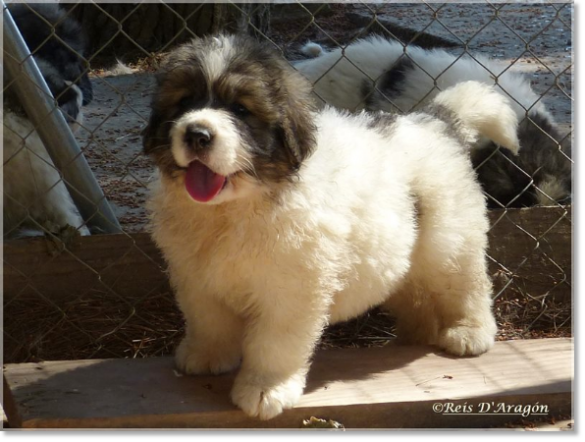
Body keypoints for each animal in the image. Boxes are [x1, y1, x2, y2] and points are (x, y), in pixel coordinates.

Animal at [144, 33, 516, 418]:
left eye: (241, 110)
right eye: (184, 102)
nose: (196, 134)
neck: (233, 207)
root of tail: (434, 120)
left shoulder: (290, 289)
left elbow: (273, 342)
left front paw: (265, 389)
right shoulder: (197, 278)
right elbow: (208, 321)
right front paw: (206, 356)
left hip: (449, 244)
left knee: (467, 288)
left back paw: (470, 332)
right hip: (401, 261)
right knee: (417, 299)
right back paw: (412, 338)